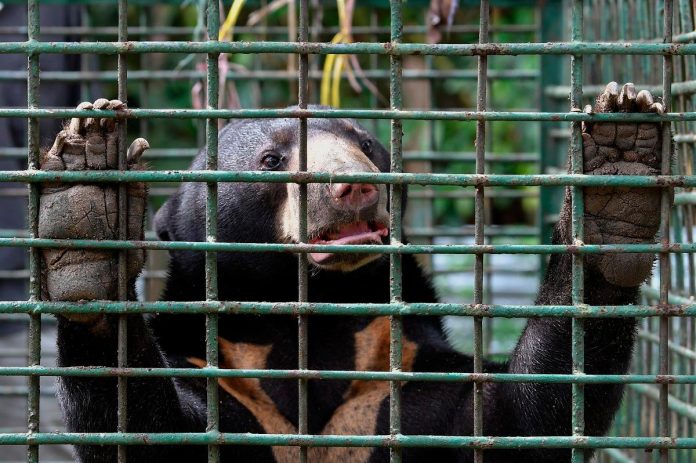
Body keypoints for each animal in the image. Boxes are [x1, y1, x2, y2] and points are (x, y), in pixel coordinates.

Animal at [38, 82, 666, 462]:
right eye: (272, 159)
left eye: (366, 142)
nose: (354, 186)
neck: (314, 331)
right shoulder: (219, 380)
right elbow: (149, 431)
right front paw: (87, 211)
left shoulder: (403, 376)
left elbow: (519, 420)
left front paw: (617, 174)